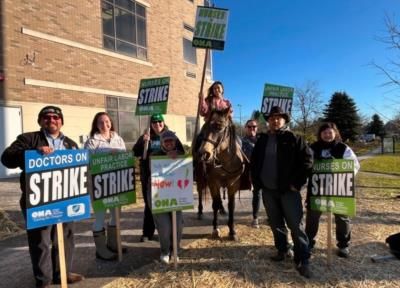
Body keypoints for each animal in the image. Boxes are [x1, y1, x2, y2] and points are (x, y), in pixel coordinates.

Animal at [195, 108, 245, 241]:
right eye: (204, 128)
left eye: (220, 127)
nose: (203, 154)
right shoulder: (213, 183)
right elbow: (215, 205)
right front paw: (215, 229)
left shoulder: (233, 184)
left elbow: (231, 206)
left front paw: (232, 231)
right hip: (200, 178)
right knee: (201, 193)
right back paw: (200, 212)